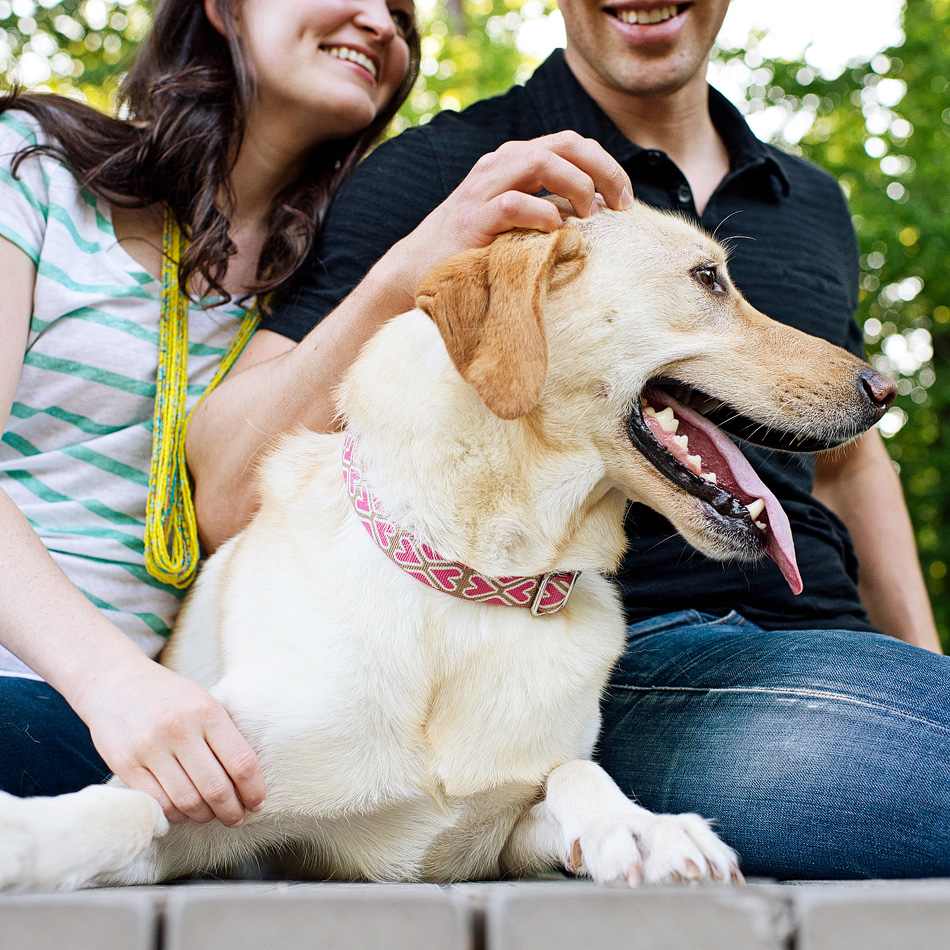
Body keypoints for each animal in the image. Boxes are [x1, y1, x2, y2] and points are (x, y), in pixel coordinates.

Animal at [0, 203, 896, 892]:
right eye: (708, 279)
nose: (884, 391)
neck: (478, 581)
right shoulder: (221, 795)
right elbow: (121, 810)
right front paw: (30, 835)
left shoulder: (499, 836)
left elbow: (577, 772)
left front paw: (642, 827)